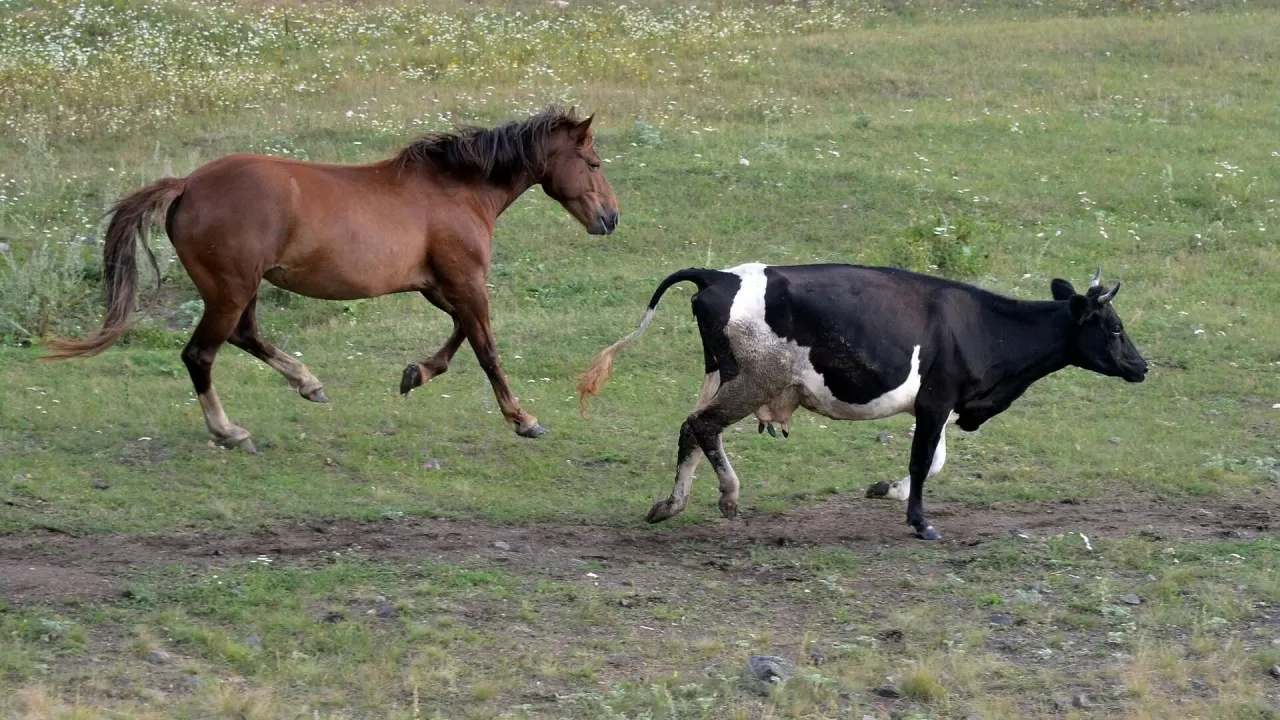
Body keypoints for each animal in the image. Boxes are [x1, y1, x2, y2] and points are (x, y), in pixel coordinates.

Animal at [52, 105, 622, 448]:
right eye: (593, 163)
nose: (611, 218)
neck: (457, 190)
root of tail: (188, 184)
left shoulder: (440, 287)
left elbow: (461, 336)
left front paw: (416, 373)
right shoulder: (464, 284)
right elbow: (487, 350)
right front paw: (524, 420)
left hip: (241, 290)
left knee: (245, 336)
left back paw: (309, 384)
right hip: (230, 291)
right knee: (200, 355)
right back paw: (229, 431)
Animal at [581, 263, 1152, 538]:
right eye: (1115, 327)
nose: (1143, 366)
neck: (980, 326)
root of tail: (719, 274)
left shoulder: (937, 403)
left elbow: (934, 460)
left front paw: (887, 490)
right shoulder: (937, 400)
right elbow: (924, 462)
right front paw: (920, 522)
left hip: (718, 374)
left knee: (690, 429)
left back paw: (670, 504)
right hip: (754, 380)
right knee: (704, 426)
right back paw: (728, 497)